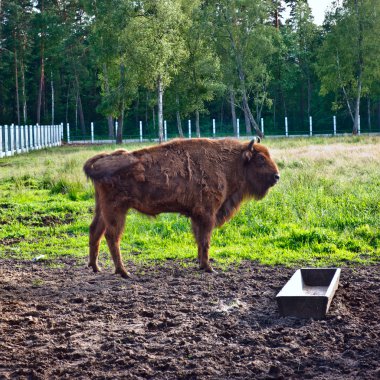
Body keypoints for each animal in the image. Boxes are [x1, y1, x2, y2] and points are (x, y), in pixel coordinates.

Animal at [83, 138, 280, 278]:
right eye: (260, 158)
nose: (277, 176)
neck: (229, 163)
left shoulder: (197, 216)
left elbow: (199, 240)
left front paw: (201, 264)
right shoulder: (208, 214)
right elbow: (205, 240)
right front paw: (209, 268)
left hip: (102, 208)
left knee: (95, 231)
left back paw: (96, 267)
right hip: (117, 210)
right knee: (112, 236)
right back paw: (123, 272)